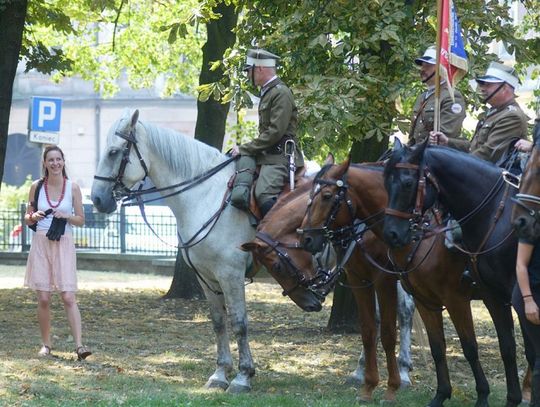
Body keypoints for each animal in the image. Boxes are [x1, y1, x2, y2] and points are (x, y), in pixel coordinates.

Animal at [90, 110, 320, 393]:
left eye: (113, 152)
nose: (97, 199)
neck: (205, 196)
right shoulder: (206, 277)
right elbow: (218, 322)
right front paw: (220, 373)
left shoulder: (231, 275)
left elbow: (240, 323)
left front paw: (243, 376)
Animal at [241, 173, 415, 403]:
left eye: (276, 266)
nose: (309, 305)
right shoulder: (360, 276)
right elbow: (371, 324)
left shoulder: (383, 276)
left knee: (406, 311)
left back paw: (403, 372)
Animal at [299, 159, 496, 407]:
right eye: (308, 196)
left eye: (326, 195)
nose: (305, 239)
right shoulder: (360, 279)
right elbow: (369, 329)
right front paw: (366, 382)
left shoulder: (386, 280)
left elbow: (389, 330)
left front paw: (392, 386)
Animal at [382, 139, 522, 407]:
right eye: (385, 181)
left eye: (407, 183)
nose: (392, 234)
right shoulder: (428, 301)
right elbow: (439, 348)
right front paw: (441, 394)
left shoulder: (457, 299)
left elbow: (470, 347)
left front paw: (483, 395)